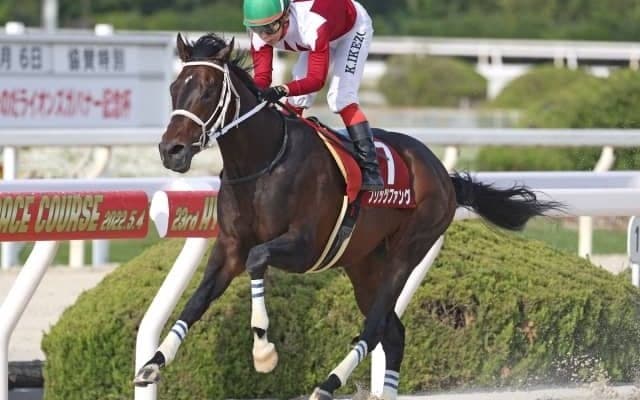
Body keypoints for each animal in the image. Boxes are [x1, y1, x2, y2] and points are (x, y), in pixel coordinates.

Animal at [133, 32, 562, 399]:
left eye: (208, 90)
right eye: (174, 88)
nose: (171, 150)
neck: (263, 163)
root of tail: (443, 173)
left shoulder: (303, 245)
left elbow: (258, 260)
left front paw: (263, 352)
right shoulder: (230, 246)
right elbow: (197, 300)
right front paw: (153, 363)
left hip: (408, 249)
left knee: (374, 329)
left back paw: (328, 383)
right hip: (363, 263)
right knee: (393, 333)